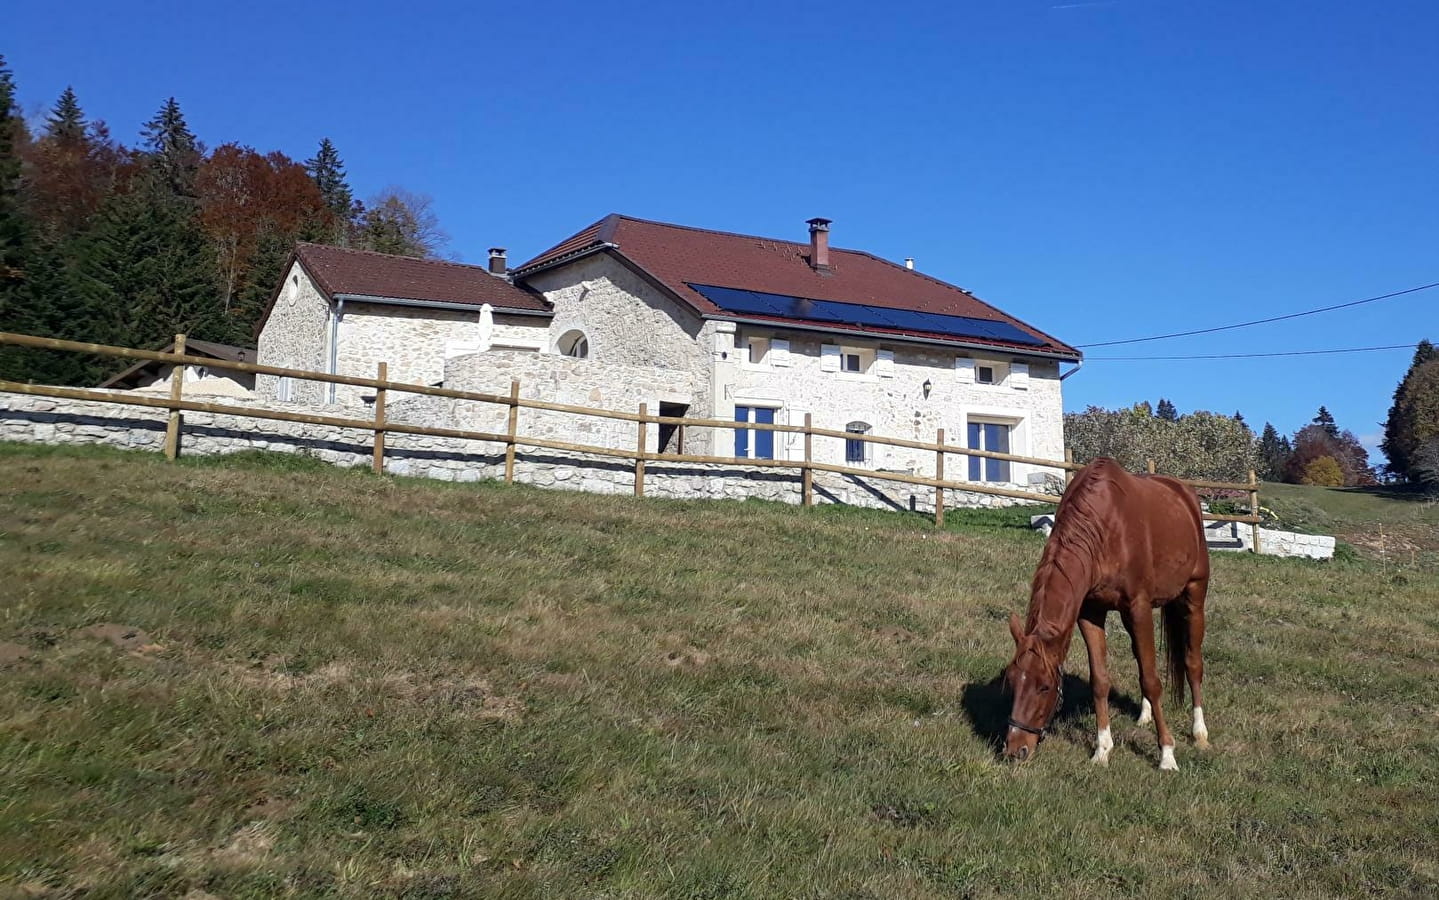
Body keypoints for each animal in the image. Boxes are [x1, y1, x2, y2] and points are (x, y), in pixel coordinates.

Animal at [1007, 460, 1208, 766]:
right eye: (1011, 681)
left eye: (1045, 687)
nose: (1015, 750)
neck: (1104, 528)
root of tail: (1184, 493)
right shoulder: (1091, 613)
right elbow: (1101, 680)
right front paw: (1102, 749)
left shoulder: (1138, 608)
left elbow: (1152, 681)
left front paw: (1167, 754)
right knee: (1141, 659)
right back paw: (1144, 715)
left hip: (1195, 595)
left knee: (1192, 662)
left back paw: (1199, 732)